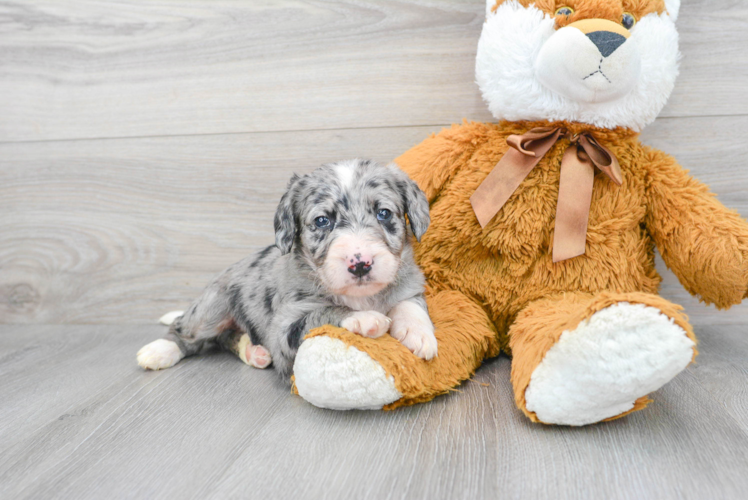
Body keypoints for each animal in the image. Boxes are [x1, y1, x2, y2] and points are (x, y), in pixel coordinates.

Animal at [137, 159, 436, 378]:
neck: (361, 296)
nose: (360, 264)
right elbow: (325, 312)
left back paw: (253, 352)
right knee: (185, 330)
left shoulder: (409, 284)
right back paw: (159, 350)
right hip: (213, 306)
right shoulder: (285, 327)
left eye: (383, 213)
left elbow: (409, 304)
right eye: (323, 220)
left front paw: (419, 333)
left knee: (225, 339)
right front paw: (362, 318)